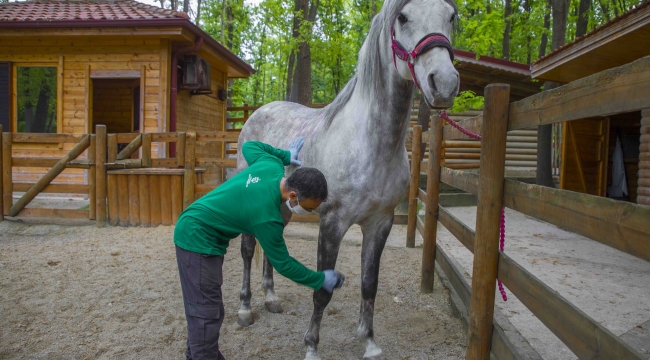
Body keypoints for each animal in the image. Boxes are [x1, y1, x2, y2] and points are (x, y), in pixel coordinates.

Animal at [235, 0, 458, 356]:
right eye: (402, 17)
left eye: (451, 16)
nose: (445, 83)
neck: (370, 144)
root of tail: (257, 113)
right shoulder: (332, 223)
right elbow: (322, 290)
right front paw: (311, 347)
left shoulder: (379, 223)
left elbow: (369, 284)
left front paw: (369, 342)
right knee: (246, 249)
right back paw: (245, 309)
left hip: (281, 207)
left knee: (271, 243)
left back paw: (271, 299)